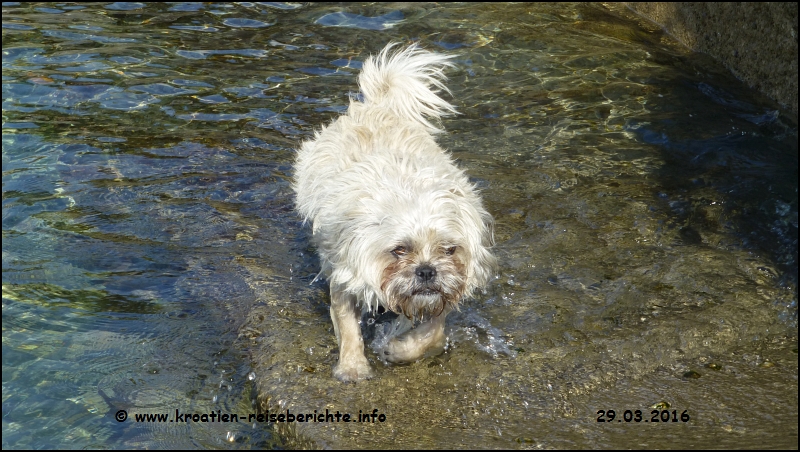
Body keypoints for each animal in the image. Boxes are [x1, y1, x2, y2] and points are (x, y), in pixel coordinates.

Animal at [294, 43, 494, 382]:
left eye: (449, 250)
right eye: (399, 250)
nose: (426, 270)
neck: (408, 193)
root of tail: (377, 106)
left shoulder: (441, 296)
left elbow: (433, 332)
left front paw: (399, 349)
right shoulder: (345, 276)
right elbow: (348, 327)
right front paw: (352, 367)